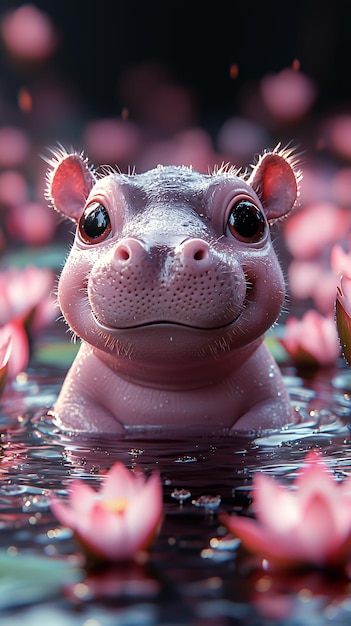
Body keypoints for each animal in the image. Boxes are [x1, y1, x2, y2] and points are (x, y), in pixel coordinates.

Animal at [46, 145, 300, 434]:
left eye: (248, 219)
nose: (164, 249)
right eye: (92, 221)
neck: (167, 394)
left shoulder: (272, 408)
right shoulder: (77, 409)